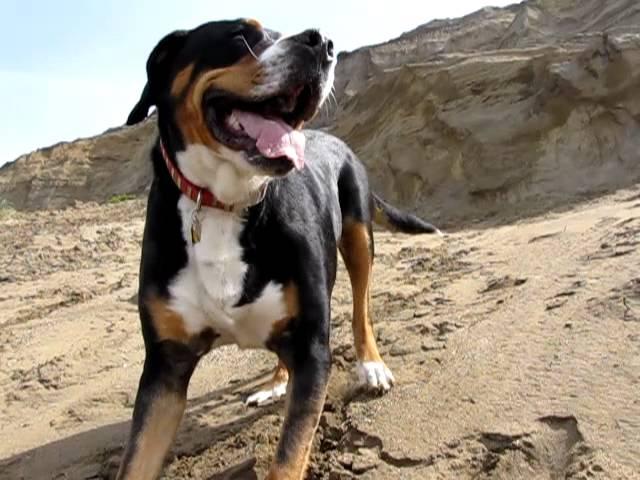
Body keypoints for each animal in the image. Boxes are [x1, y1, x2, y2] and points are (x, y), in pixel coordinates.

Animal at [120, 18, 440, 480]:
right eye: (240, 35)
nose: (322, 43)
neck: (225, 203)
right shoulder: (165, 369)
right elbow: (136, 459)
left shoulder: (312, 349)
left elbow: (290, 455)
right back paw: (275, 383)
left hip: (358, 236)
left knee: (361, 307)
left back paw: (371, 365)